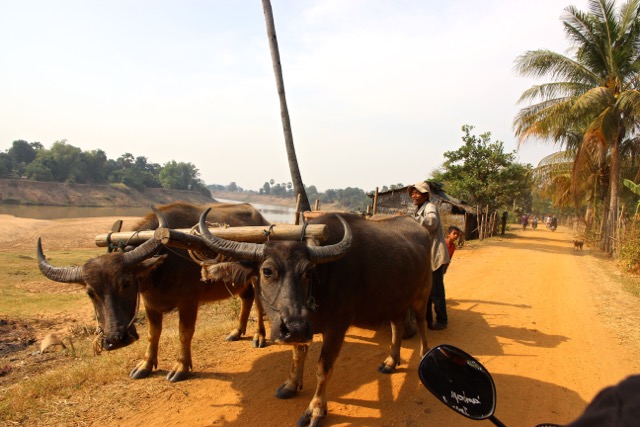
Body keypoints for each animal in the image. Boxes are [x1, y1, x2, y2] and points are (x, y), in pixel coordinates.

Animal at [35, 202, 270, 382]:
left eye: (126, 283)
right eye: (91, 293)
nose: (116, 339)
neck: (163, 264)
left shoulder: (188, 302)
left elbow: (184, 333)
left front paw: (181, 367)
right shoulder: (150, 304)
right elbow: (152, 334)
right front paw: (145, 365)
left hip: (257, 279)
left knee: (259, 305)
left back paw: (259, 335)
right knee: (247, 299)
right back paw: (237, 332)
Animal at [198, 211, 432, 427]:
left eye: (309, 272)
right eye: (267, 271)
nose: (293, 327)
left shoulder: (336, 329)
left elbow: (323, 369)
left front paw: (316, 410)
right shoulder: (301, 328)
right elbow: (297, 355)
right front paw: (291, 385)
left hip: (422, 293)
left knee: (421, 323)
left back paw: (424, 354)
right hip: (396, 301)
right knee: (397, 326)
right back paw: (391, 361)